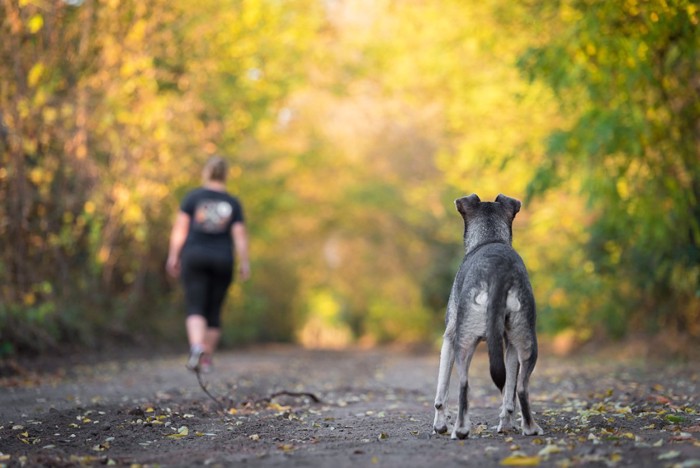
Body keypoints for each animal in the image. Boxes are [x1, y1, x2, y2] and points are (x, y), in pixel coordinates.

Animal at [430, 193, 544, 438]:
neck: (490, 237)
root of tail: (499, 272)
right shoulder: (507, 345)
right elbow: (508, 393)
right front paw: (506, 422)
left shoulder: (449, 339)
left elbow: (441, 391)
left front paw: (440, 424)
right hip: (526, 341)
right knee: (521, 388)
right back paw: (529, 428)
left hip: (463, 343)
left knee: (463, 385)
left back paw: (461, 430)